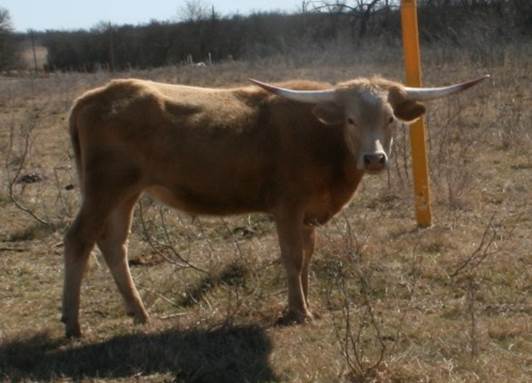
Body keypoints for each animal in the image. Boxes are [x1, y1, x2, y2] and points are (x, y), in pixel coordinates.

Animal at [60, 74, 488, 336]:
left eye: (390, 119)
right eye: (350, 119)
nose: (374, 159)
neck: (322, 137)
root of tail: (93, 96)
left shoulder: (308, 214)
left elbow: (309, 257)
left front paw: (307, 301)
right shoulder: (288, 207)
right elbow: (293, 257)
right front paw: (299, 311)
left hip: (125, 193)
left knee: (114, 243)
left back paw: (139, 312)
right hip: (104, 189)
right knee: (79, 239)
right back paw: (72, 322)